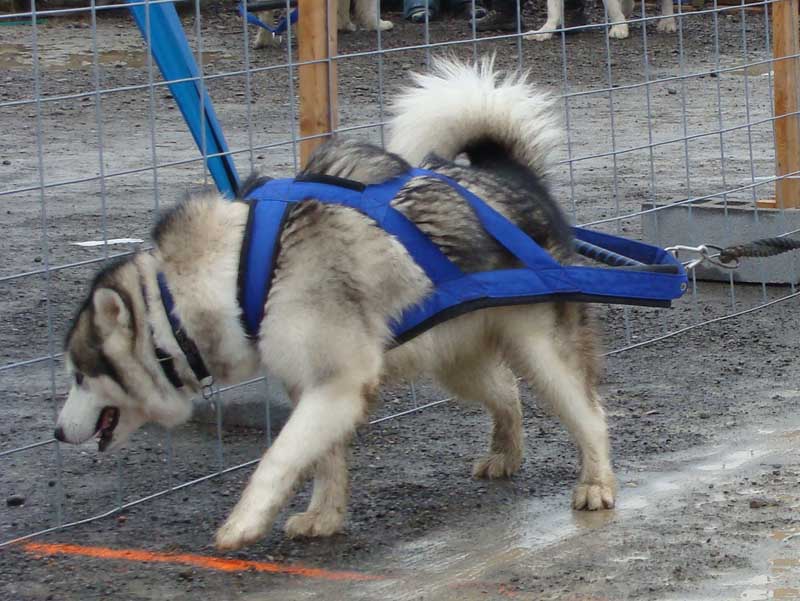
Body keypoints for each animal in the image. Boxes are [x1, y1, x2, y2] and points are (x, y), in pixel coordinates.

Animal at [56, 58, 616, 552]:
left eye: (81, 375)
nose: (58, 434)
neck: (238, 272)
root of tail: (512, 176)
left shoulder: (337, 384)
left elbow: (279, 458)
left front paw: (244, 521)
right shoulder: (312, 385)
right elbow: (324, 461)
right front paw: (324, 515)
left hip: (542, 352)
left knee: (589, 413)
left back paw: (596, 482)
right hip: (453, 357)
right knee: (506, 393)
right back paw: (505, 452)